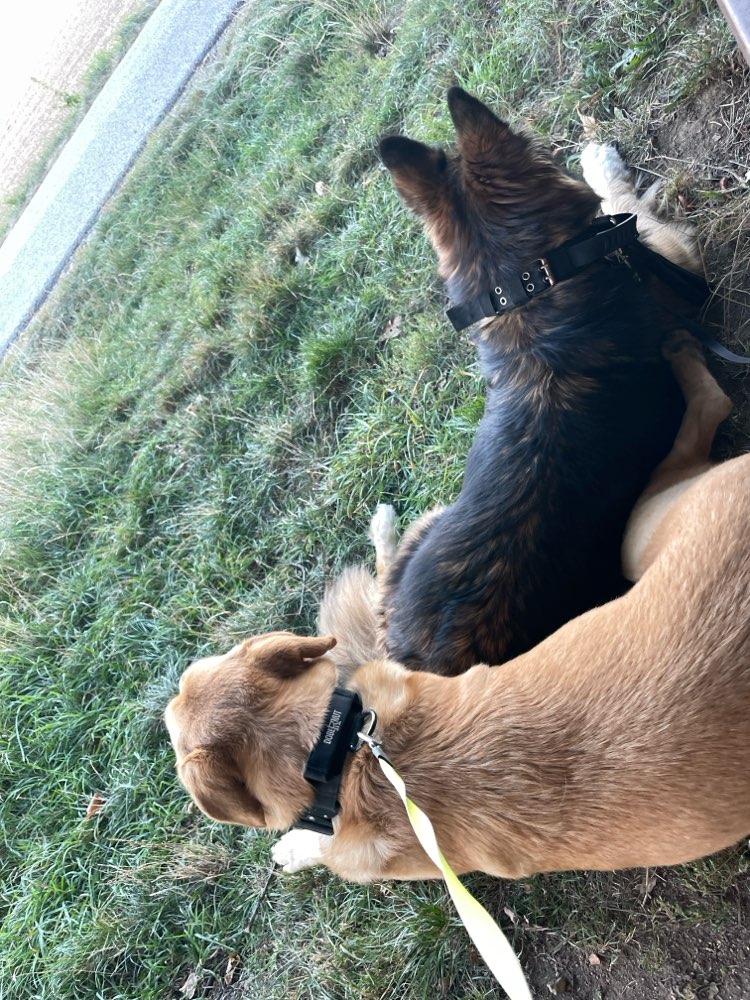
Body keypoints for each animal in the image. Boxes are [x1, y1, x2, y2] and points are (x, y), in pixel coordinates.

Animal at [352, 90, 704, 676]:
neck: (527, 289)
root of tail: (425, 664)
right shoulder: (671, 255)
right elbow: (623, 205)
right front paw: (600, 162)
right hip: (429, 525)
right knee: (380, 576)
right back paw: (381, 522)